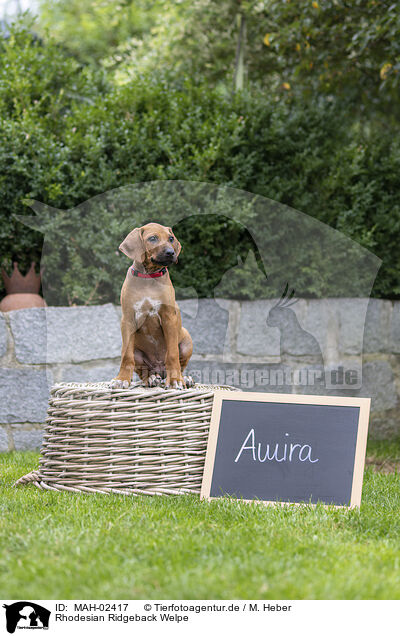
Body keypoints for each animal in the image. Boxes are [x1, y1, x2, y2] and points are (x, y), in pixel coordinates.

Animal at [111, 224, 194, 392]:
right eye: (153, 238)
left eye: (171, 238)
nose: (171, 252)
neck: (148, 277)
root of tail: (159, 370)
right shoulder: (128, 319)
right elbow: (126, 355)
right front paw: (121, 379)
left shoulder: (169, 318)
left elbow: (172, 354)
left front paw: (175, 380)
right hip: (138, 352)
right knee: (143, 370)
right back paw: (151, 379)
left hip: (187, 341)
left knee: (180, 364)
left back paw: (184, 378)